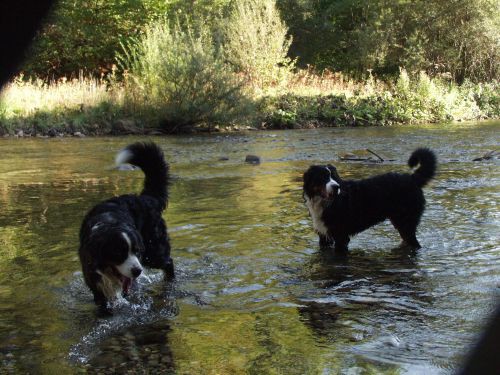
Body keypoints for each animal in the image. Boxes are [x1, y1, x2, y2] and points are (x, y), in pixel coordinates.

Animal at [77, 142, 173, 310]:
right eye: (118, 252)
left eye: (137, 250)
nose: (137, 271)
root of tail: (145, 198)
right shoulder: (94, 280)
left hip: (153, 252)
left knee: (168, 263)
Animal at [302, 148, 436, 253]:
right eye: (323, 177)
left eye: (334, 177)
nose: (336, 187)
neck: (324, 203)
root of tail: (412, 178)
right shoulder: (324, 237)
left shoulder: (341, 237)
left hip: (406, 223)